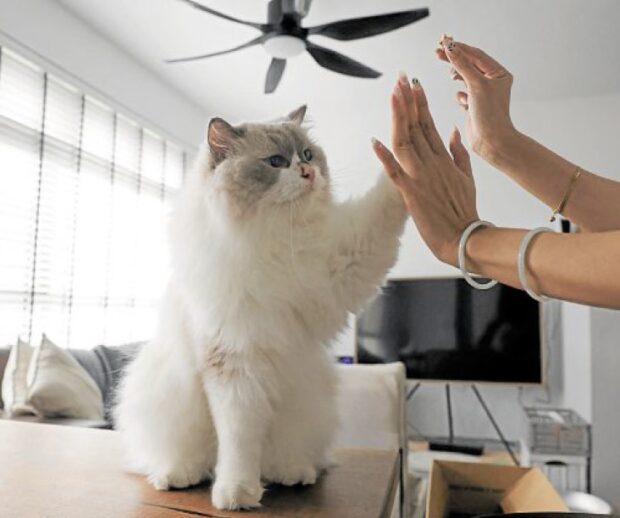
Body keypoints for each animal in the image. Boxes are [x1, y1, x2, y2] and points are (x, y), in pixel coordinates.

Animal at [115, 106, 406, 512]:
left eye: (307, 154)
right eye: (276, 162)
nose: (308, 172)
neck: (273, 241)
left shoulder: (345, 262)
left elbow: (385, 203)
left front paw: (407, 158)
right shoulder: (234, 365)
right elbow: (239, 441)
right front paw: (236, 493)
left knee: (280, 458)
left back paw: (293, 473)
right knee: (188, 457)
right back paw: (178, 475)